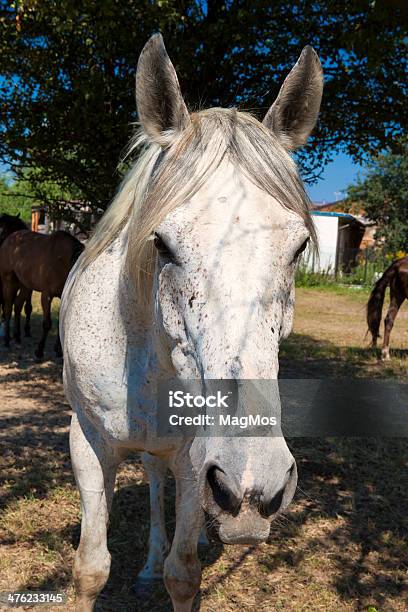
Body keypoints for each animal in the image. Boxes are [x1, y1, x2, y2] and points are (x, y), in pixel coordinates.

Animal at [0, 225, 84, 358]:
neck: (62, 261)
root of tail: (11, 237)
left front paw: (58, 351)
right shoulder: (46, 295)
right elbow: (47, 324)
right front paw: (39, 352)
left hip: (25, 285)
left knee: (17, 305)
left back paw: (17, 337)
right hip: (8, 281)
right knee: (8, 308)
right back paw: (7, 340)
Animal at [59, 34, 322, 612]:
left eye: (298, 247)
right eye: (161, 243)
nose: (253, 488)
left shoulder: (193, 455)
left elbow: (184, 574)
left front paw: (189, 548)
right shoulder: (87, 443)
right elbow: (90, 567)